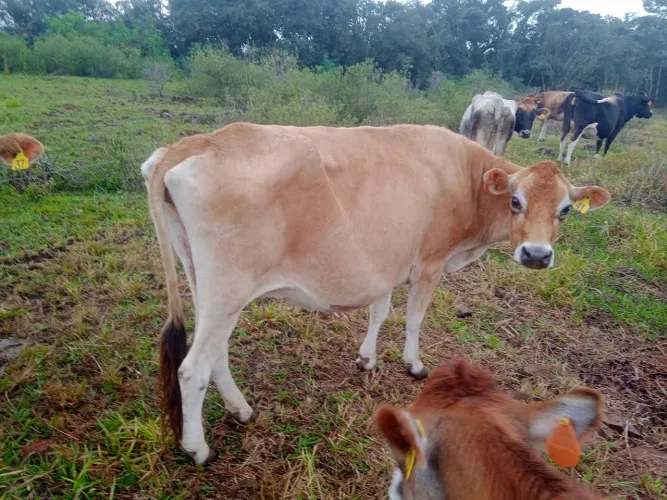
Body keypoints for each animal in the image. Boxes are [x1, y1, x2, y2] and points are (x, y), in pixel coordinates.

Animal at [141, 122, 610, 464]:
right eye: (515, 201)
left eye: (566, 210)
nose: (536, 254)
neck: (465, 178)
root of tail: (197, 141)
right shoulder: (429, 262)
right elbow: (414, 317)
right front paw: (414, 364)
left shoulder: (384, 265)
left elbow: (379, 311)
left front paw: (367, 358)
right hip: (227, 290)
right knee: (192, 369)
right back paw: (198, 449)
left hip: (205, 284)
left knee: (215, 354)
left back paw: (241, 410)